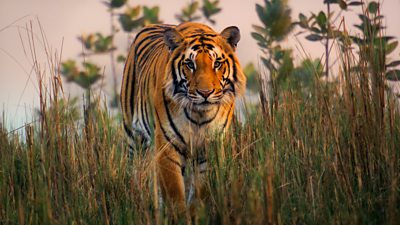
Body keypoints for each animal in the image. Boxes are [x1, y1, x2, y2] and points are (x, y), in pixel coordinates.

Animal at [120, 22, 245, 210]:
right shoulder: (167, 145)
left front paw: (198, 211)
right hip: (133, 138)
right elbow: (174, 194)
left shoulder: (210, 146)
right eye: (190, 64)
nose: (205, 93)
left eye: (217, 63)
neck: (199, 115)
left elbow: (201, 191)